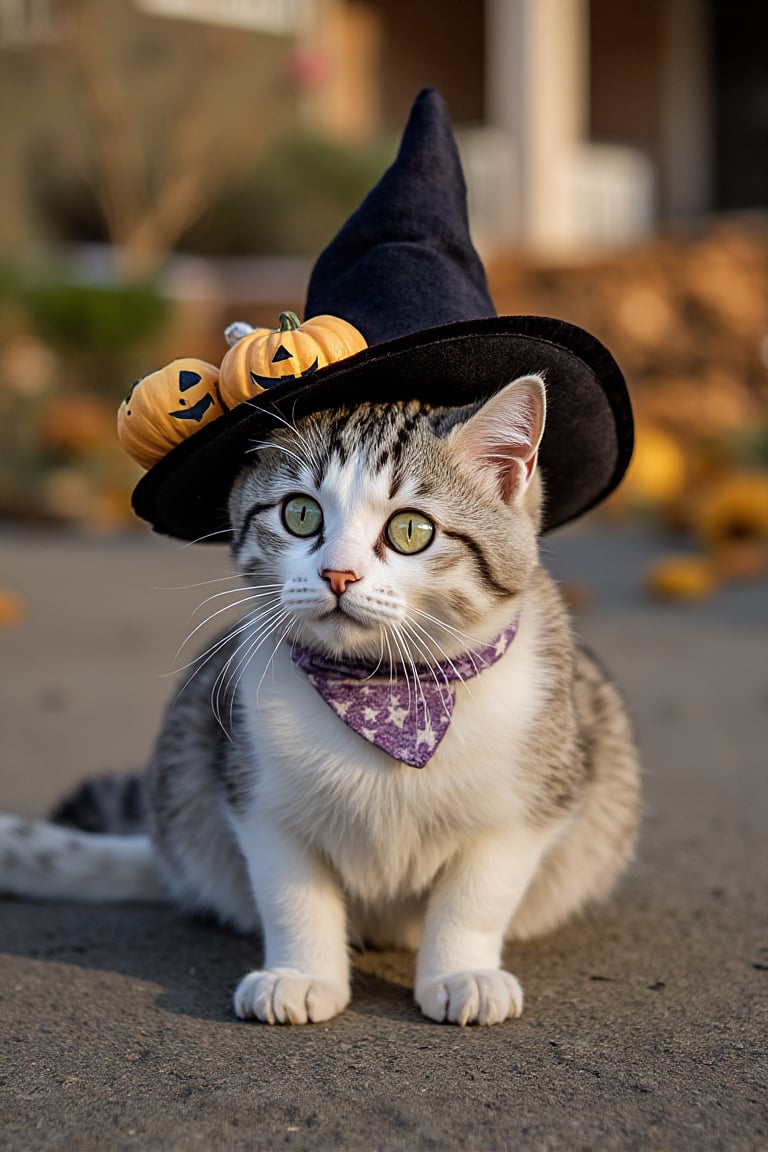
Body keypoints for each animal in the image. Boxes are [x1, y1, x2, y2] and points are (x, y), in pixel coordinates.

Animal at [0, 375, 644, 1027]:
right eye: (301, 514)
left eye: (411, 530)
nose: (338, 575)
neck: (382, 693)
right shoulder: (258, 794)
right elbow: (291, 894)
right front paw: (302, 973)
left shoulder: (529, 805)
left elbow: (477, 896)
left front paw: (462, 972)